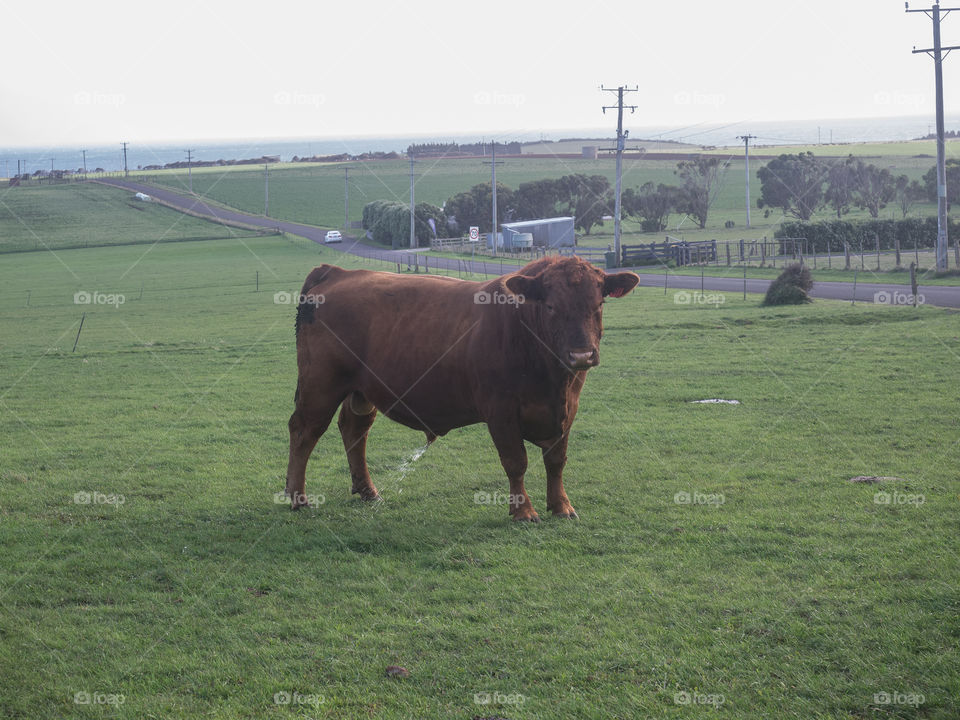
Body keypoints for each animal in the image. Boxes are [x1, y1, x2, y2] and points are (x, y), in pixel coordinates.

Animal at [285, 255, 640, 521]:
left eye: (599, 303)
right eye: (551, 306)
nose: (581, 355)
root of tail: (337, 272)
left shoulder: (567, 409)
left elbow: (556, 460)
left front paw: (561, 506)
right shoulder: (501, 411)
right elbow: (516, 461)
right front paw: (523, 511)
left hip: (361, 391)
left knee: (354, 429)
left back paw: (368, 492)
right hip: (320, 386)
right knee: (304, 432)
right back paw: (298, 497)